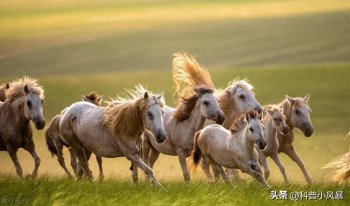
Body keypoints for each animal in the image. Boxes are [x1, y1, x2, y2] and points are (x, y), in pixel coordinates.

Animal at [142, 52, 224, 181]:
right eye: (206, 102)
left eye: (217, 101)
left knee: (150, 163)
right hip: (146, 145)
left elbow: (214, 170)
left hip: (156, 148)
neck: (186, 128)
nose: (221, 117)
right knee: (146, 164)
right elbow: (186, 175)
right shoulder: (180, 153)